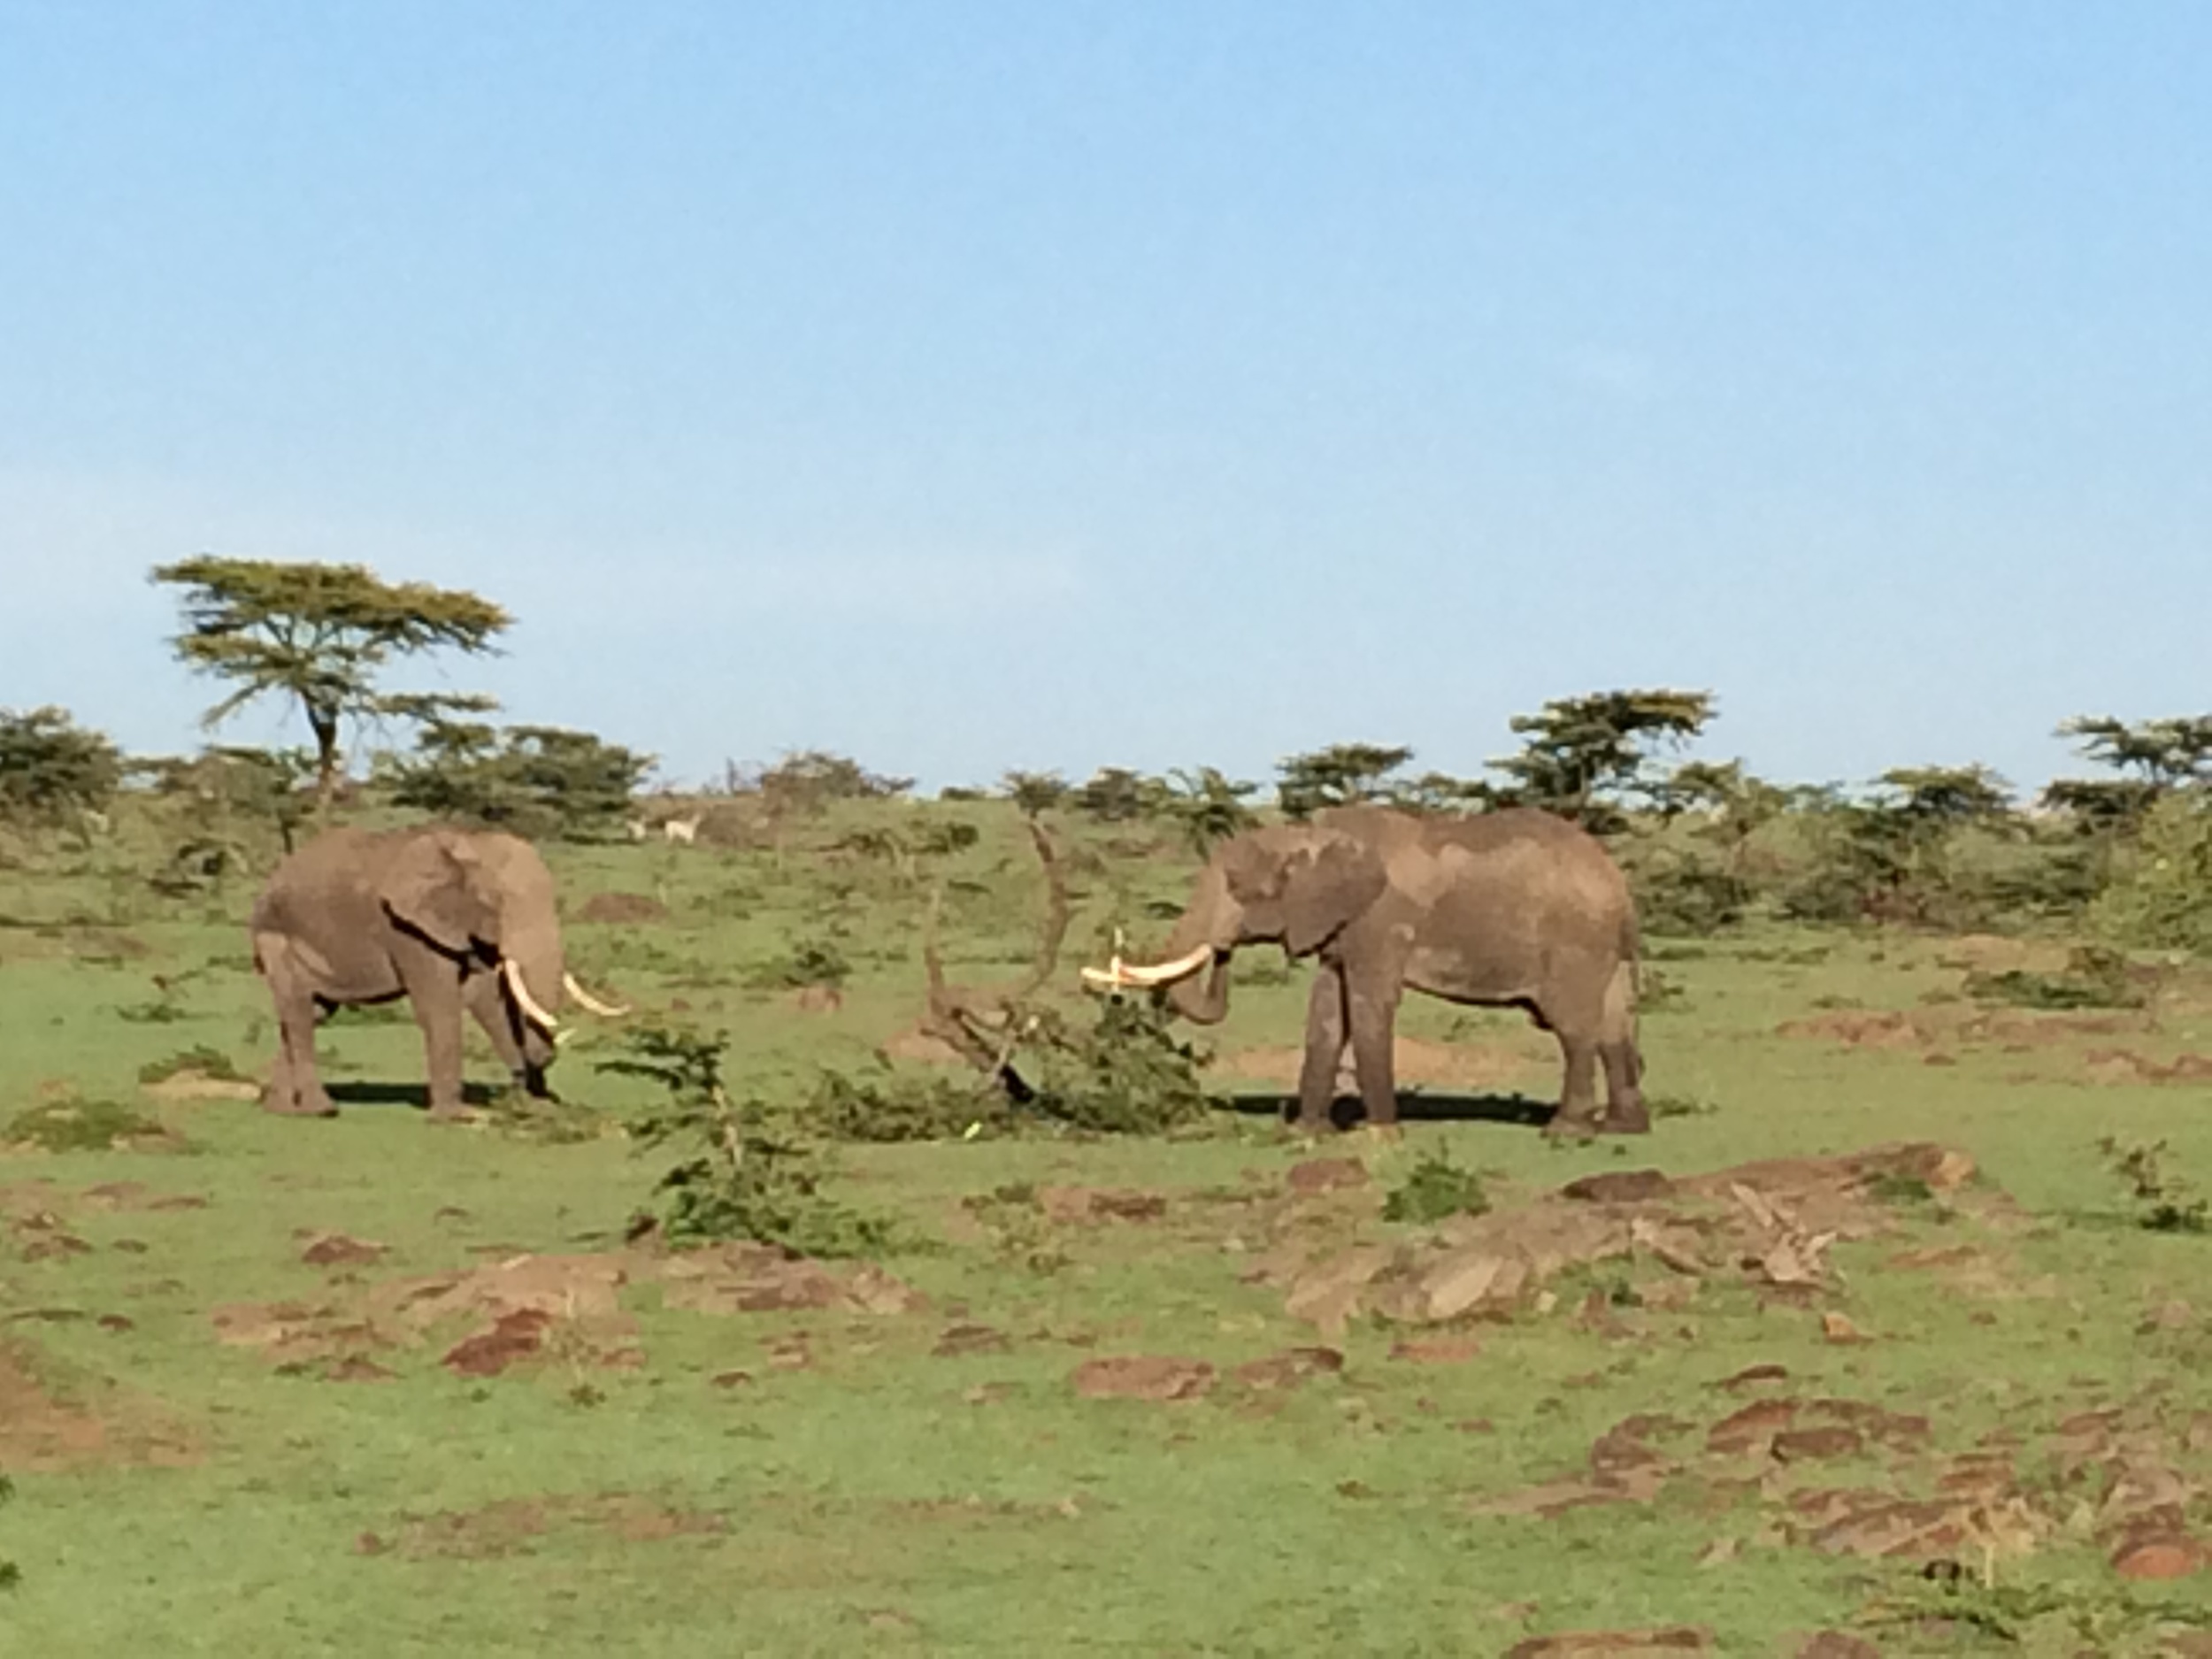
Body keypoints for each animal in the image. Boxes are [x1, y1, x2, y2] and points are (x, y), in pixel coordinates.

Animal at [253, 827, 633, 1124]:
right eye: (498, 903)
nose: (540, 1070)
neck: (469, 842)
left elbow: (487, 998)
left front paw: (535, 1108)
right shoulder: (406, 928)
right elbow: (439, 1005)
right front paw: (458, 1117)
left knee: (313, 1012)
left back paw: (281, 1109)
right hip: (275, 935)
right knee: (300, 1012)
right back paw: (321, 1110)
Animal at [1088, 810, 1646, 1141]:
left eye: (1237, 885)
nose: (1222, 949)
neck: (1310, 836)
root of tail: (1619, 883)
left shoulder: (1380, 921)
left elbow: (1367, 1009)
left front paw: (1381, 1136)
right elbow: (1326, 1015)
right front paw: (1309, 1135)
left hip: (1574, 942)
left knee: (1574, 1029)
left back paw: (1565, 1132)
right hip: (1601, 950)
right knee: (1613, 1027)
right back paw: (1622, 1129)